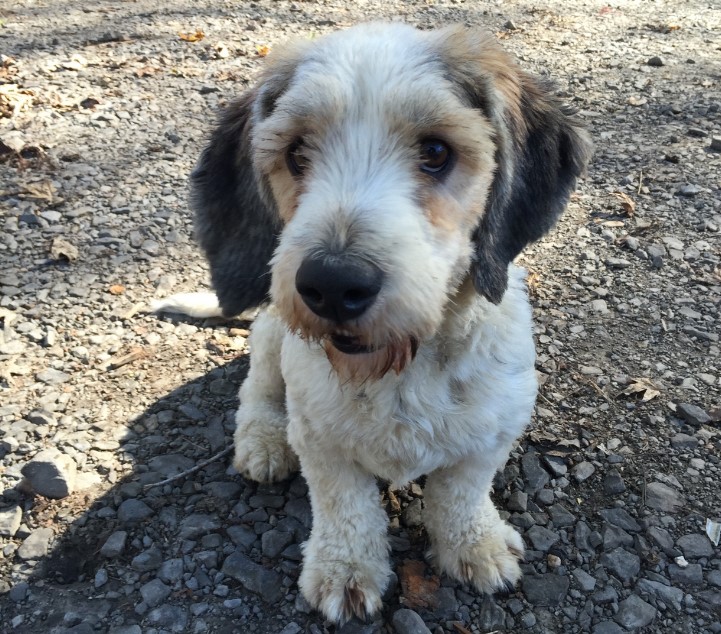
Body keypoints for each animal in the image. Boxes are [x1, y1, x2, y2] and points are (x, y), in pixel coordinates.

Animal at [159, 23, 592, 624]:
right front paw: (345, 569)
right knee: (257, 393)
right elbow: (346, 506)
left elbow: (460, 492)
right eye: (296, 152)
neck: (400, 371)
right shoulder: (320, 440)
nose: (332, 284)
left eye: (436, 151)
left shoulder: (493, 430)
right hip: (273, 337)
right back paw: (264, 442)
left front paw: (474, 545)